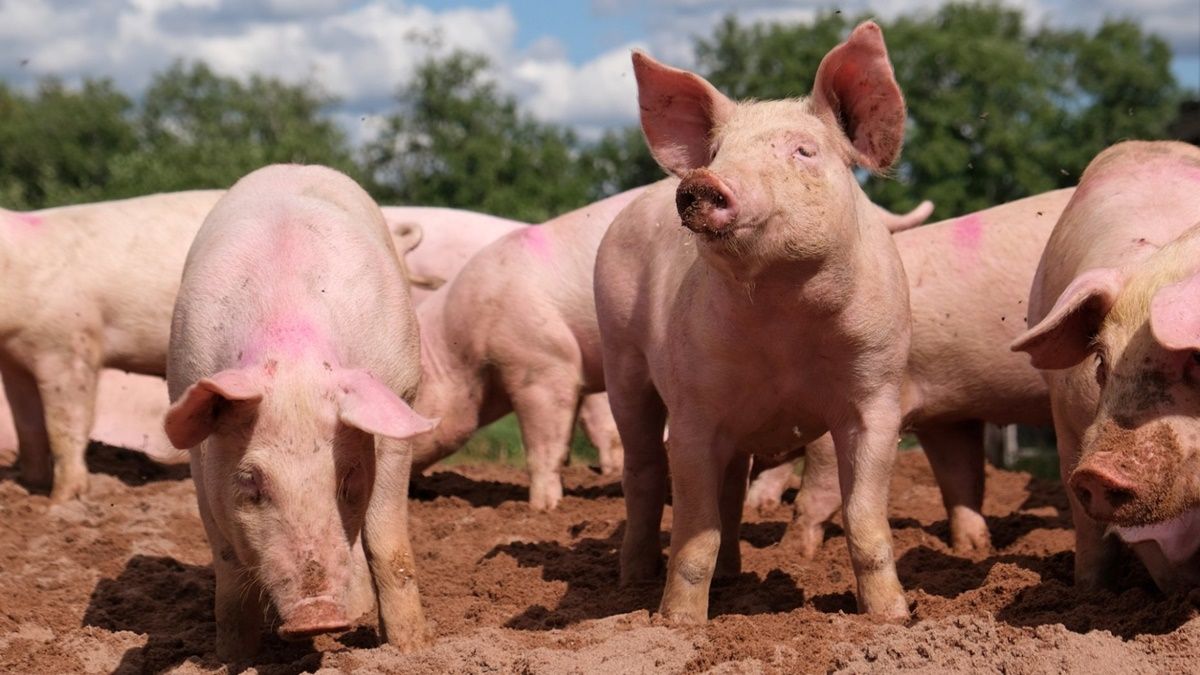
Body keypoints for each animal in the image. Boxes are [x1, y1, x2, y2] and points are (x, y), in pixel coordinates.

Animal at [164, 164, 436, 658]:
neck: (290, 346)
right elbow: (227, 562)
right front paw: (232, 659)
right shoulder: (196, 442)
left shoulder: (398, 398)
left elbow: (387, 544)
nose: (317, 616)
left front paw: (410, 651)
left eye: (346, 478)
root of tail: (295, 166)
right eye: (250, 481)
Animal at [594, 22, 914, 623]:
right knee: (643, 472)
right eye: (719, 151)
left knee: (732, 490)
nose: (702, 181)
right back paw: (631, 583)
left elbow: (864, 522)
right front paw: (678, 624)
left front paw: (892, 619)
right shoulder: (693, 409)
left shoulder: (878, 395)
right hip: (620, 358)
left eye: (804, 150)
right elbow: (694, 534)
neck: (784, 318)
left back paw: (733, 577)